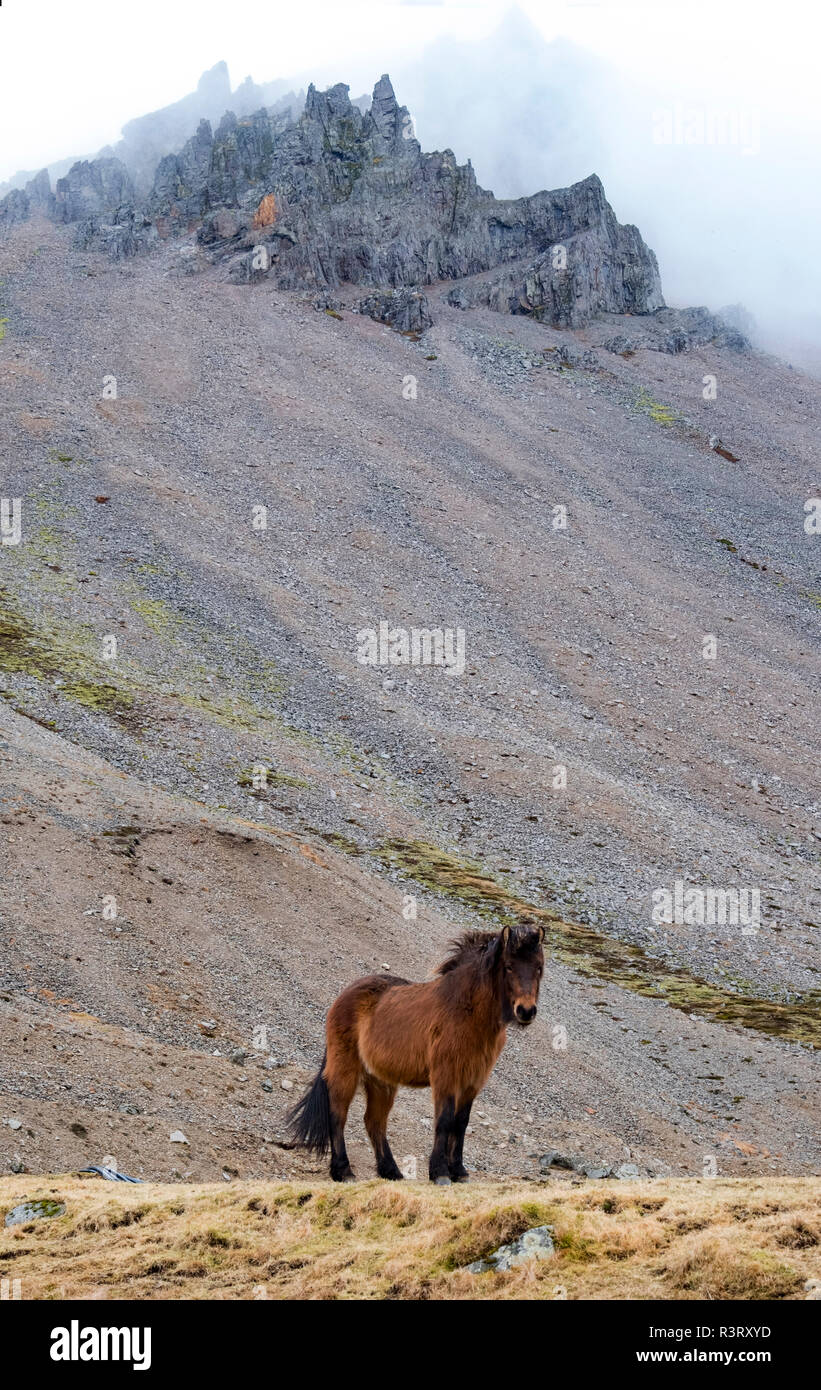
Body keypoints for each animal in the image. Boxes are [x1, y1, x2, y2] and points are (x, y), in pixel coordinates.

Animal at [286, 922, 541, 1184]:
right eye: (509, 966)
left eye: (539, 967)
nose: (526, 1011)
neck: (467, 1011)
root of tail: (343, 997)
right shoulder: (445, 1076)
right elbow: (445, 1120)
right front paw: (440, 1172)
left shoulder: (473, 1081)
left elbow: (461, 1123)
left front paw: (459, 1171)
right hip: (345, 1070)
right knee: (338, 1115)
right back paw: (343, 1171)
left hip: (381, 1082)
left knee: (375, 1122)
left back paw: (391, 1171)